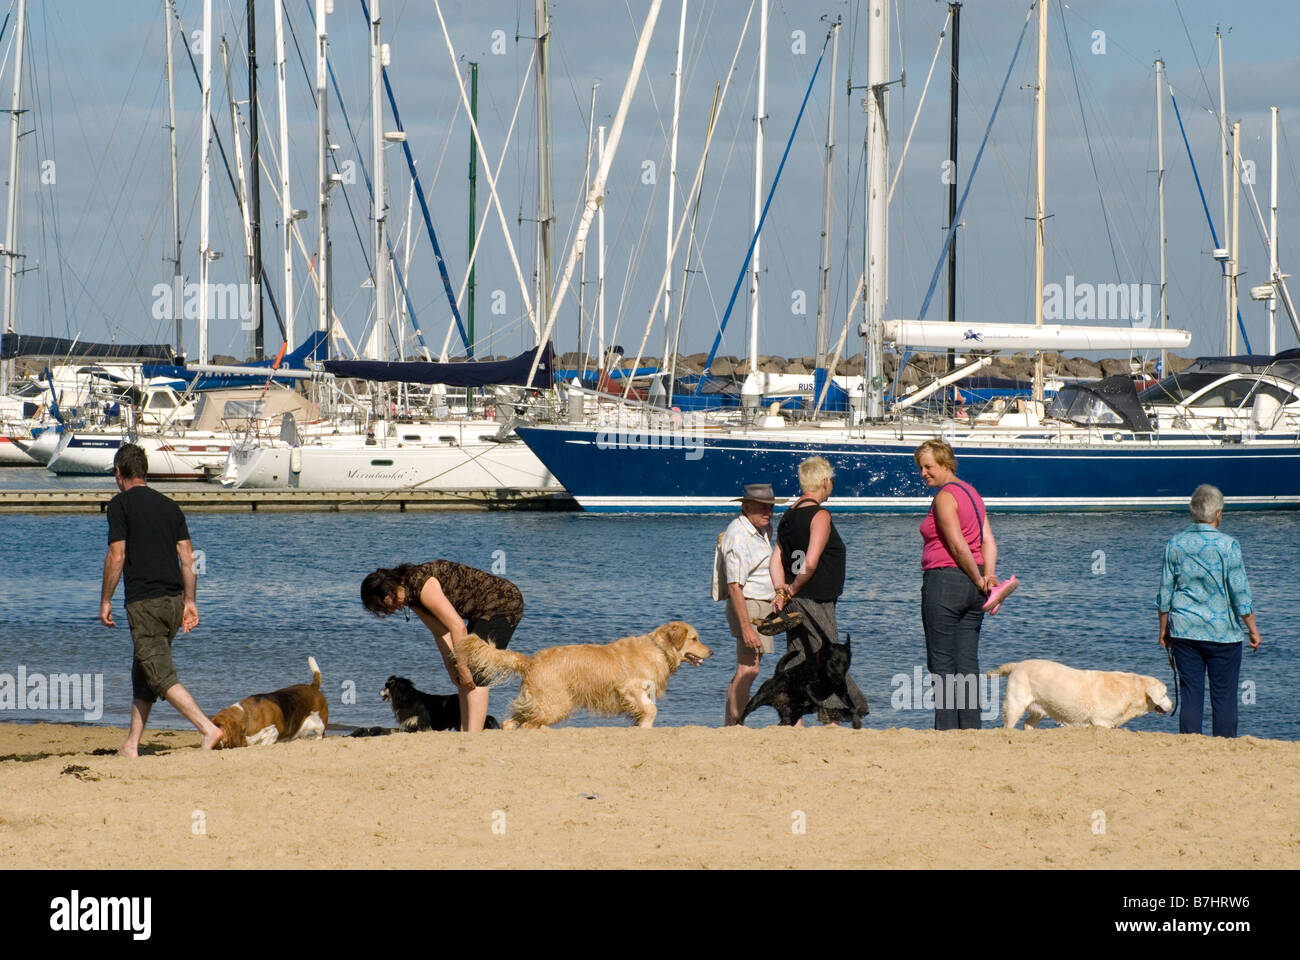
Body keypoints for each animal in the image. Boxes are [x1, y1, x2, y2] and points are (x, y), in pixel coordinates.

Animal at [460, 621, 712, 723]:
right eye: (694, 638)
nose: (712, 651)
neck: (659, 649)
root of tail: (531, 661)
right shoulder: (629, 688)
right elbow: (650, 710)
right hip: (556, 703)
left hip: (539, 702)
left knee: (509, 722)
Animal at [738, 634, 868, 723]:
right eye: (833, 661)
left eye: (846, 663)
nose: (839, 680)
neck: (823, 673)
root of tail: (779, 673)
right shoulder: (806, 686)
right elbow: (815, 698)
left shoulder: (842, 693)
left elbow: (851, 705)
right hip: (759, 698)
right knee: (745, 712)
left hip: (789, 715)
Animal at [982, 658, 1180, 723]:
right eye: (1164, 694)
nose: (1173, 705)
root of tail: (1017, 665)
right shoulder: (1101, 722)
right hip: (1014, 704)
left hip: (1040, 708)